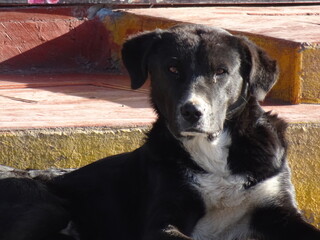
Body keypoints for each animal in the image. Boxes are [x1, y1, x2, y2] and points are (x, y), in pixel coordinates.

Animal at [0, 23, 320, 240]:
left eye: (221, 72)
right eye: (172, 69)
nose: (192, 112)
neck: (211, 151)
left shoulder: (278, 208)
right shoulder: (161, 220)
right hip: (44, 205)